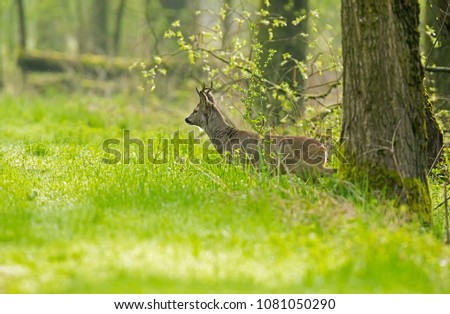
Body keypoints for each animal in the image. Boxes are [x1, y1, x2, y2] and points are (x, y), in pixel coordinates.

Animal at [185, 84, 336, 177]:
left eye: (195, 110)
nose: (187, 119)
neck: (225, 137)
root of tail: (324, 149)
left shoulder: (244, 162)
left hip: (309, 167)